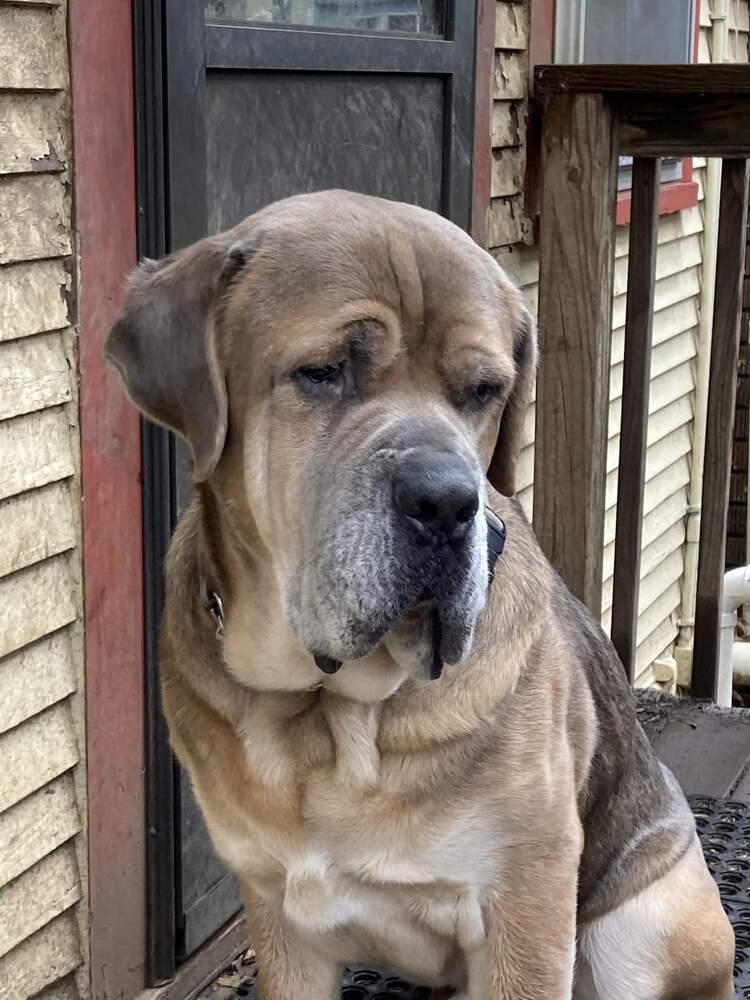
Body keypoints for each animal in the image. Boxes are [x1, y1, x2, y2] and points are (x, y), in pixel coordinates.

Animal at [108, 191, 736, 996]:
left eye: (484, 391)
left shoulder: (527, 902)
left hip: (650, 924)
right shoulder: (279, 915)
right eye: (323, 371)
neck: (328, 716)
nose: (446, 502)